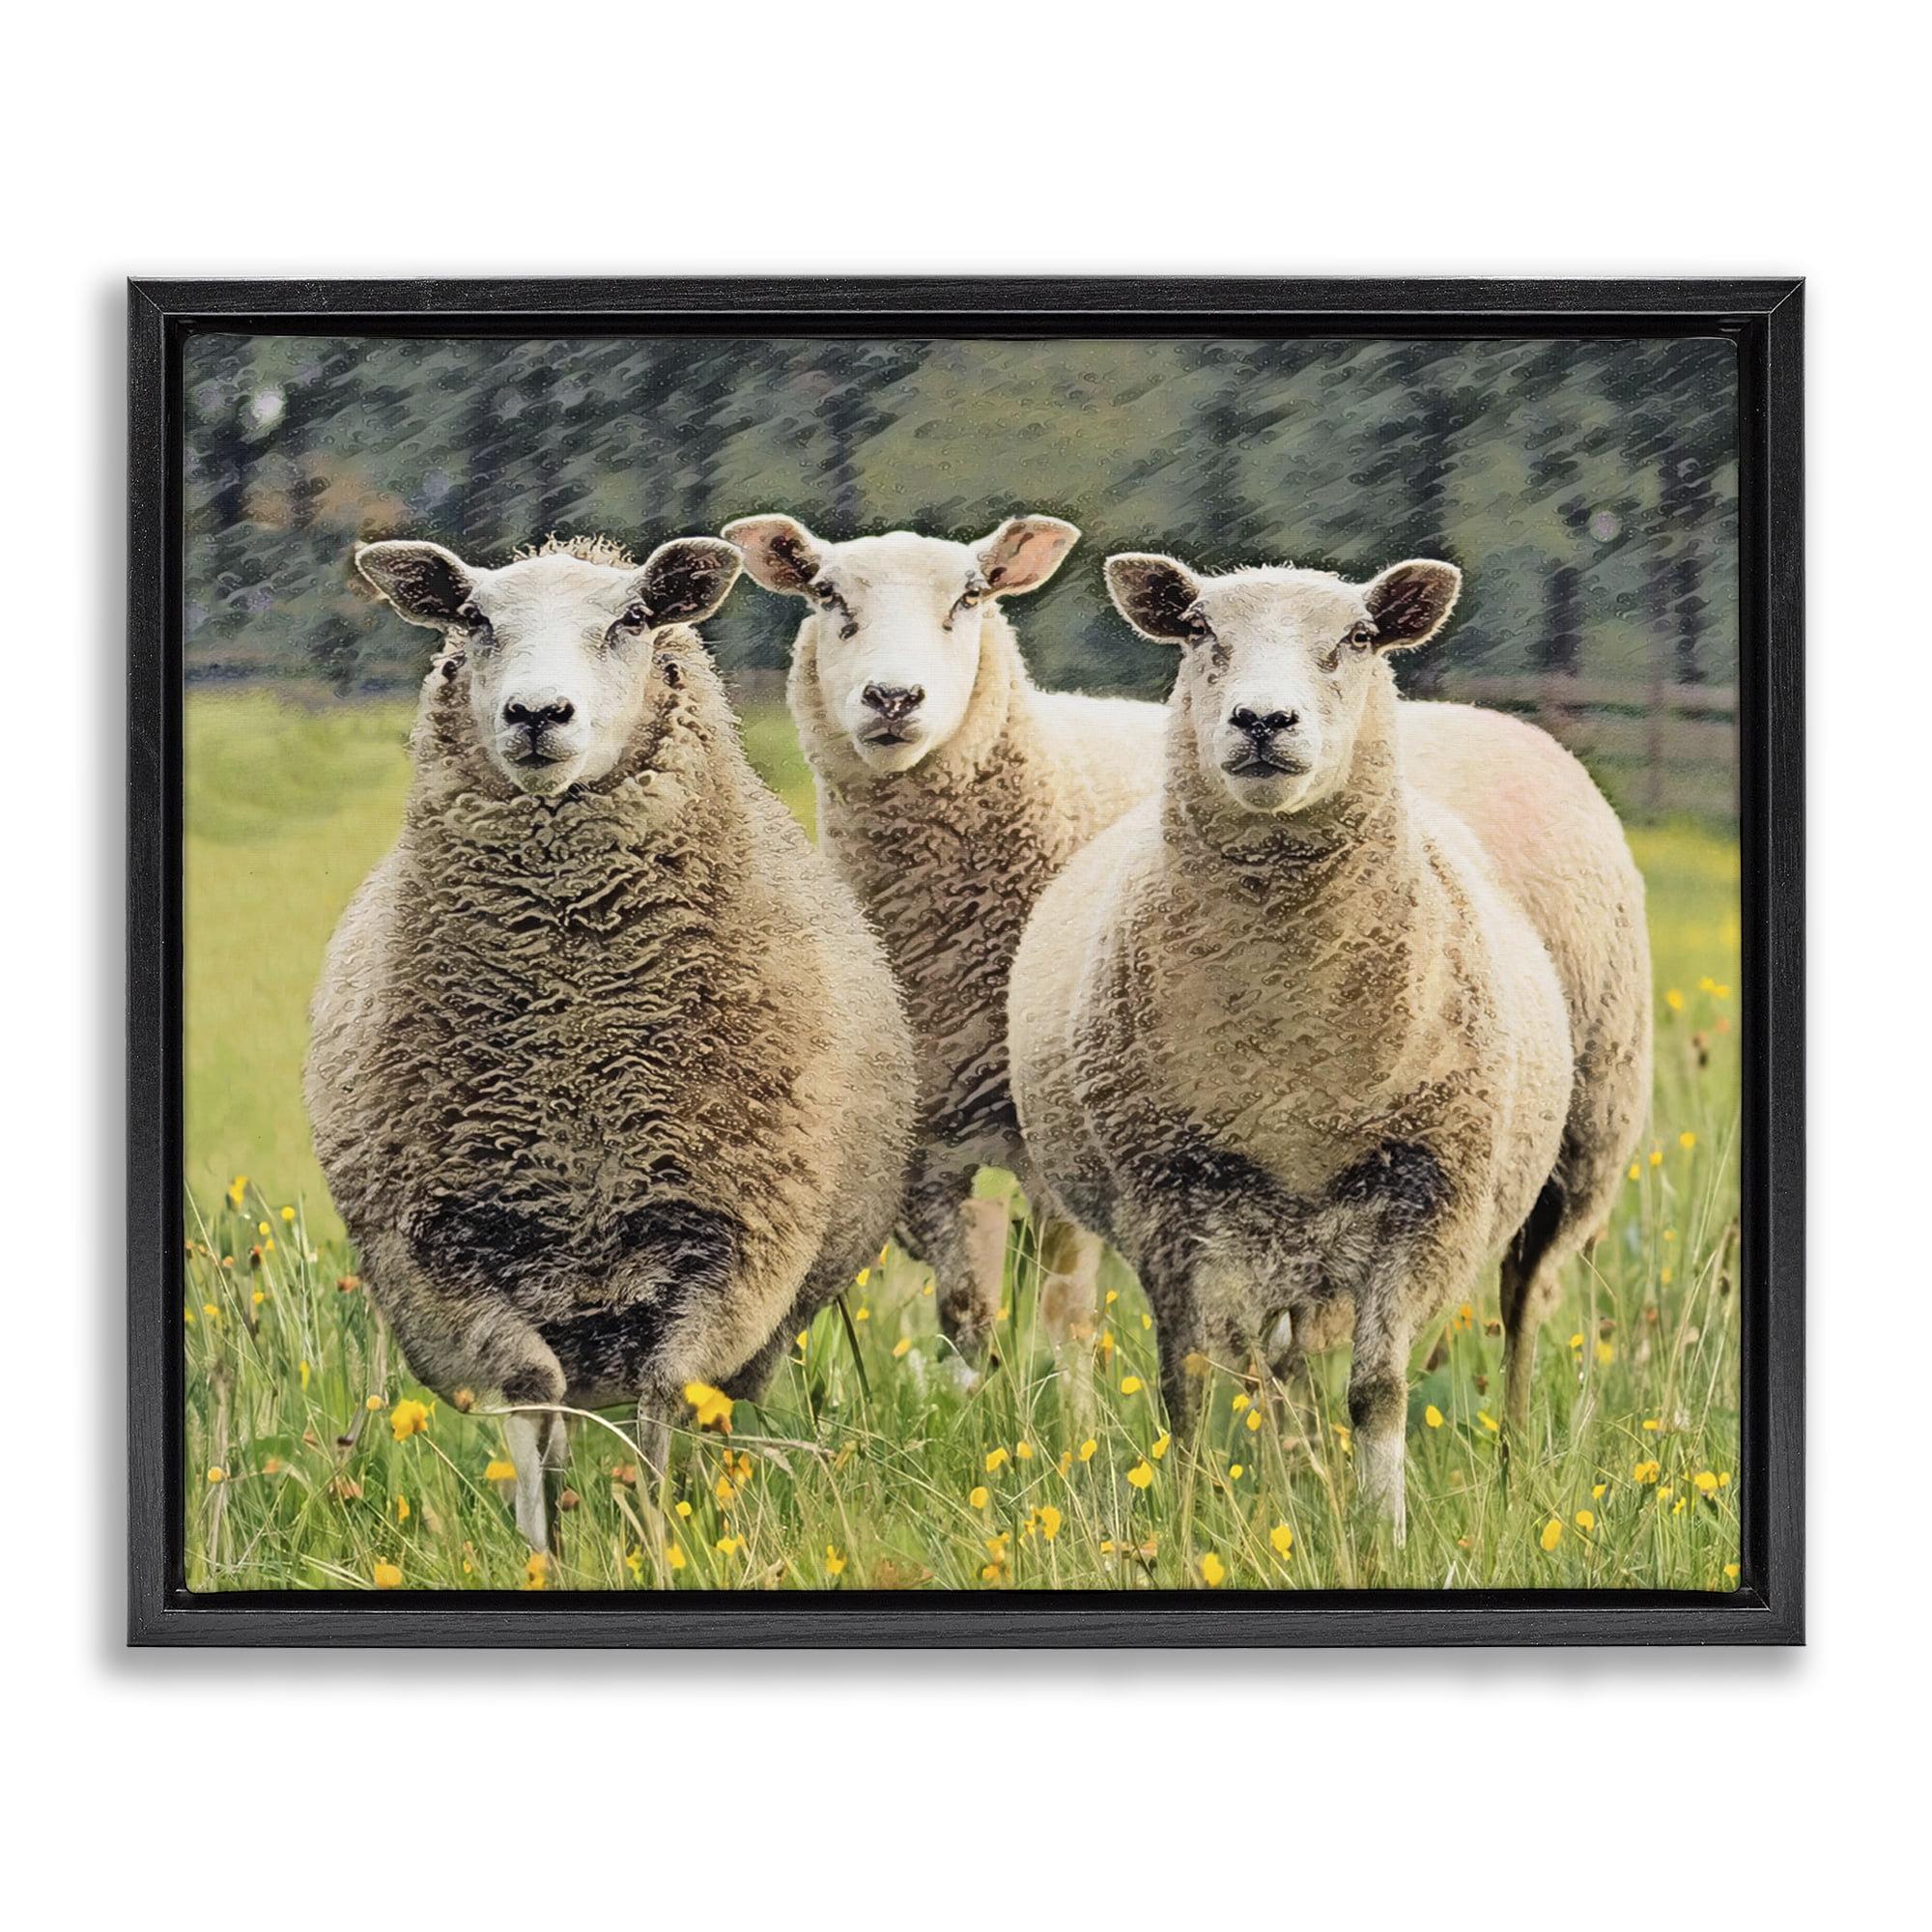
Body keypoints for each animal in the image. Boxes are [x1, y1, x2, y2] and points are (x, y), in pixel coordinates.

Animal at [306, 533, 914, 1553]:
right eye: (472, 619)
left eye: (631, 619)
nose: (537, 714)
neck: (576, 1048)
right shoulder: (444, 1253)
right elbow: (531, 1395)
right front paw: (541, 1551)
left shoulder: (732, 1244)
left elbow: (667, 1397)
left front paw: (659, 1543)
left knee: (699, 1408)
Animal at [721, 512, 1169, 1364]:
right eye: (826, 594)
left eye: (970, 596)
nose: (893, 696)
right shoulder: (921, 1150)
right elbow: (965, 1311)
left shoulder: (1055, 1138)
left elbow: (1063, 1311)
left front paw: (1062, 1401)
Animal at [1007, 550, 1652, 1534]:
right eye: (1198, 630)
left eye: (1357, 638)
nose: (1264, 720)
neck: (1293, 1047)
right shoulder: (1166, 1200)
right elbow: (1189, 1383)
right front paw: (1190, 1517)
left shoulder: (1430, 1195)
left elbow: (1378, 1390)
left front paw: (1382, 1528)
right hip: (1286, 1235)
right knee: (1282, 1365)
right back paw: (1295, 1473)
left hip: (1582, 1148)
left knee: (1524, 1308)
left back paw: (1511, 1462)